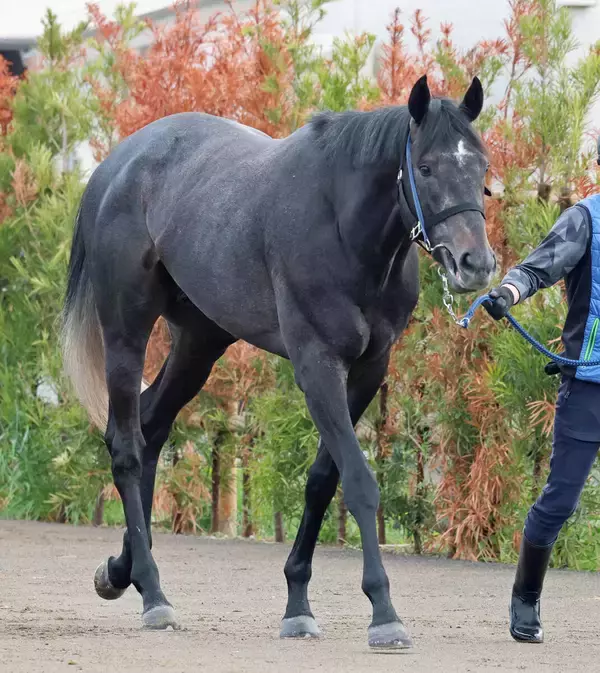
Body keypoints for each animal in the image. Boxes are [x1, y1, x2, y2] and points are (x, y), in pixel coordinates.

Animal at [61, 74, 495, 649]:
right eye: (425, 167)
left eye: (481, 167)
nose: (476, 264)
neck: (341, 227)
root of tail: (115, 167)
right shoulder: (317, 365)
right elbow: (359, 482)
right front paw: (383, 612)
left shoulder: (368, 370)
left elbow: (323, 480)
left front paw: (298, 604)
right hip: (126, 333)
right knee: (128, 447)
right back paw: (153, 594)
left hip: (199, 343)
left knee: (150, 429)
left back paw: (121, 570)